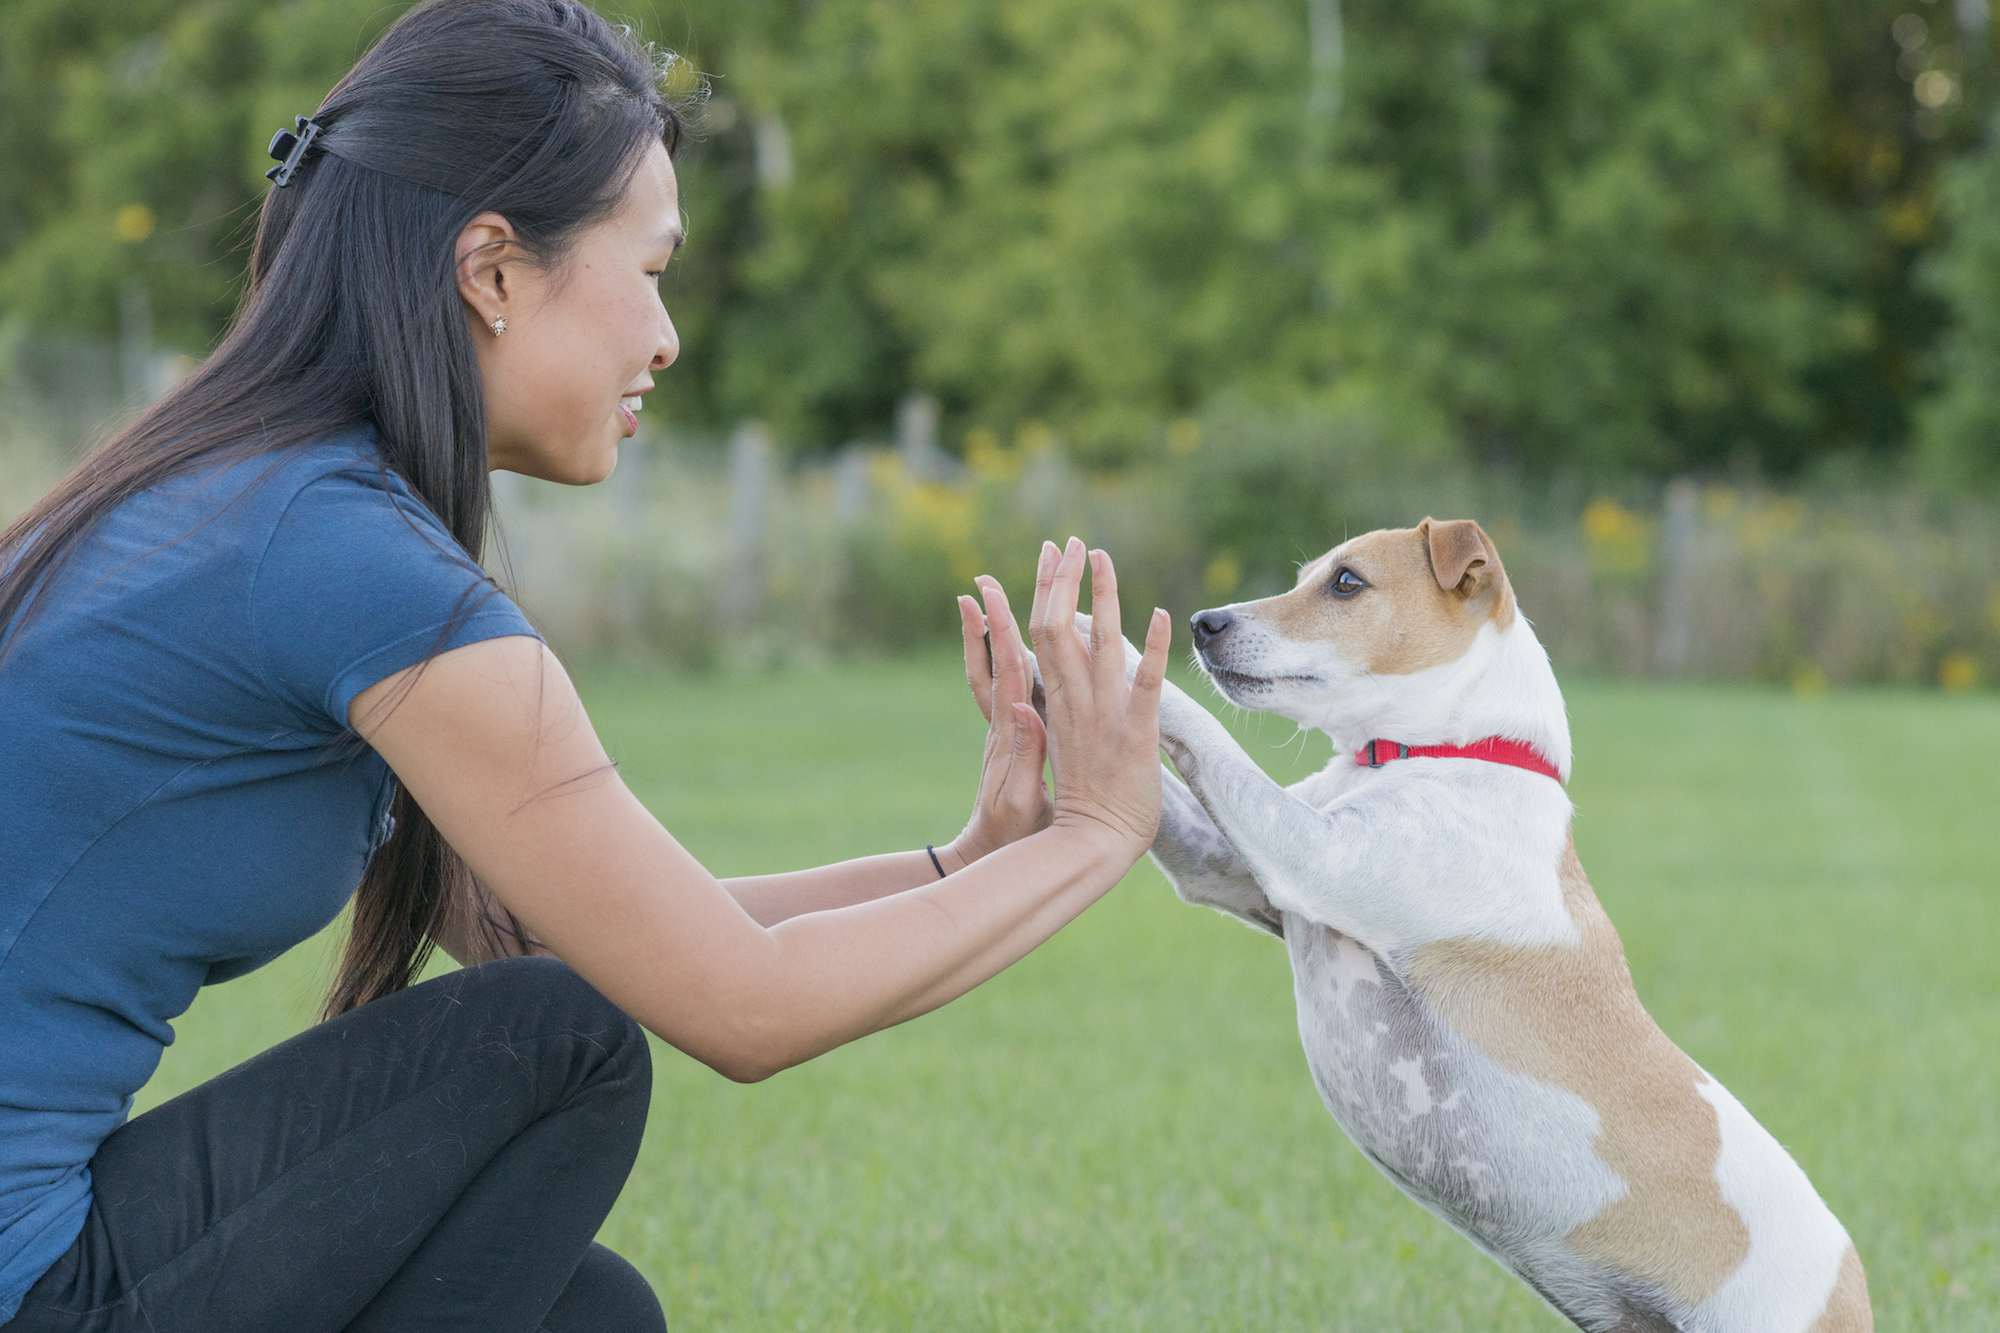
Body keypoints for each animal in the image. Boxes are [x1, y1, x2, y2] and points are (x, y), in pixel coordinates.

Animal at [1088, 516, 1864, 1328]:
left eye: (1347, 582)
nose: (1204, 624)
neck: (1447, 752)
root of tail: (1855, 1293)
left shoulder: (1311, 854)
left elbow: (1206, 729)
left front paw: (1107, 647)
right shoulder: (1222, 866)